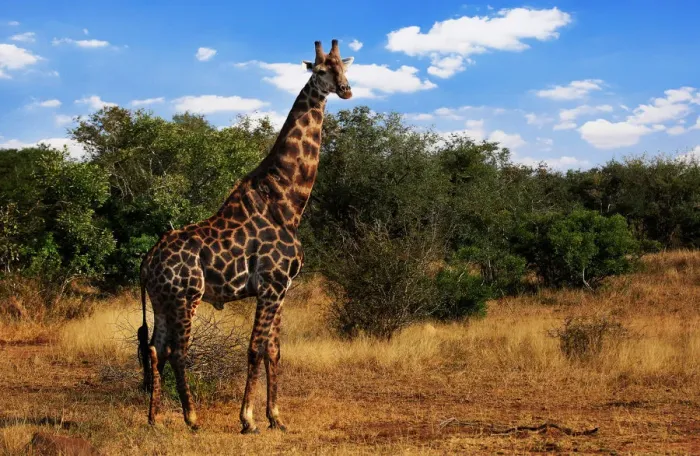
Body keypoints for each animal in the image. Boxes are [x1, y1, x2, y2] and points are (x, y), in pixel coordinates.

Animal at [137, 39, 354, 434]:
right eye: (319, 70)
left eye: (343, 68)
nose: (345, 90)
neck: (288, 202)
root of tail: (146, 262)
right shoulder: (270, 285)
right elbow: (254, 348)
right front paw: (248, 419)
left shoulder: (283, 289)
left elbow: (274, 350)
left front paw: (276, 417)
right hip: (186, 297)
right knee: (178, 352)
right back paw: (192, 418)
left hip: (161, 301)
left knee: (156, 350)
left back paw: (154, 418)